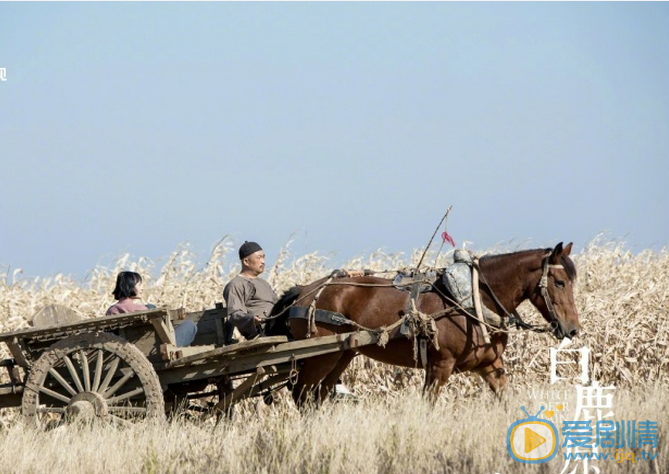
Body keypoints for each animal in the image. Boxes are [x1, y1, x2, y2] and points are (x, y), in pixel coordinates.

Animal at [266, 243, 580, 406]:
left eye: (572, 281)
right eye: (559, 282)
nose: (573, 329)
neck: (473, 299)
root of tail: (304, 290)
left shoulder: (490, 365)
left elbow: (507, 401)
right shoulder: (440, 365)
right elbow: (428, 404)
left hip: (341, 356)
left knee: (316, 396)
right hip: (320, 357)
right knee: (302, 395)